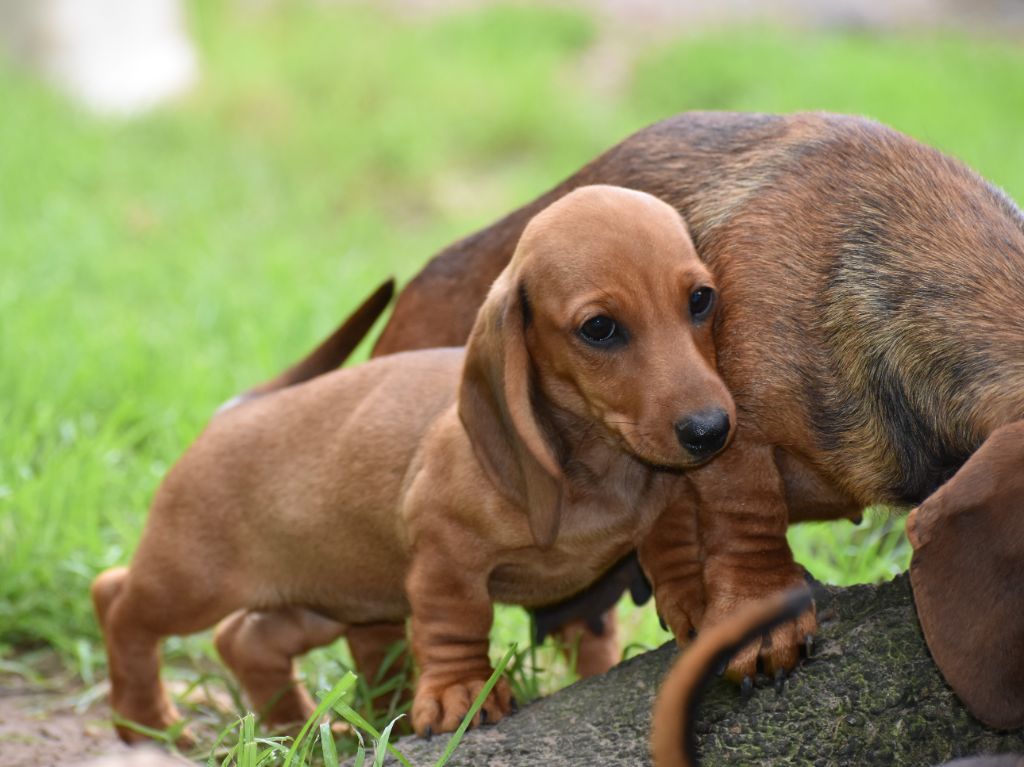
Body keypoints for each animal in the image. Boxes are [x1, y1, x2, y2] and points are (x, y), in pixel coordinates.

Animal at [92, 182, 737, 737]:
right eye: (599, 328)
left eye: (700, 299)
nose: (710, 432)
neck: (597, 463)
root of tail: (234, 410)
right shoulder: (446, 555)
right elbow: (458, 623)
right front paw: (461, 694)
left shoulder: (668, 496)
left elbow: (674, 539)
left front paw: (702, 598)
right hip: (190, 580)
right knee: (117, 599)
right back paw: (145, 722)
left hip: (335, 597)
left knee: (245, 640)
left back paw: (295, 729)